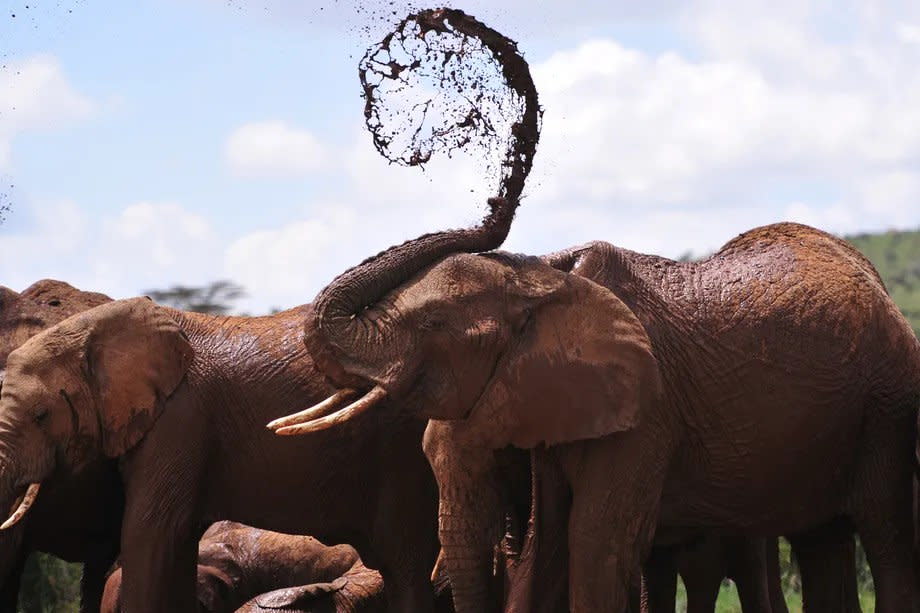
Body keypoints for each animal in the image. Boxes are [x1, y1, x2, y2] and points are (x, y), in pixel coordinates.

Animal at [268, 196, 920, 612]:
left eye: (431, 325)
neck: (544, 278)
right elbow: (550, 553)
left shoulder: (647, 413)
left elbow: (594, 544)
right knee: (822, 541)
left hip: (887, 402)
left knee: (885, 537)